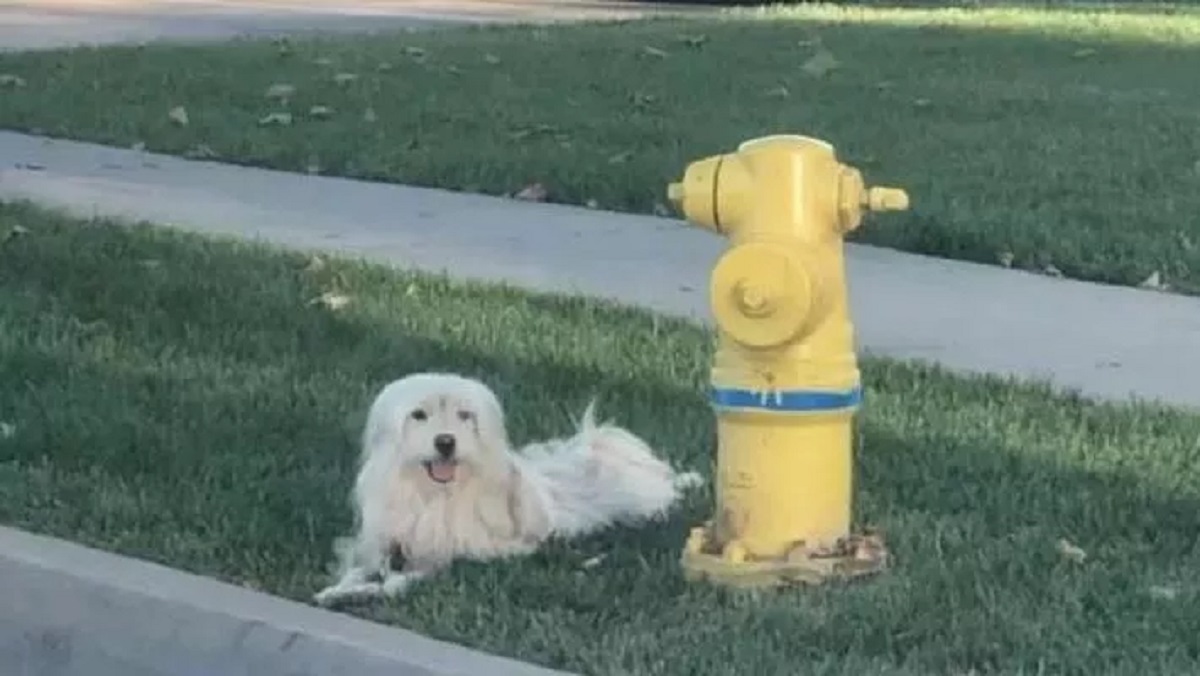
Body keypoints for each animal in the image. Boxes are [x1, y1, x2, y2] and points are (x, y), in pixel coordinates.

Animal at [314, 372, 700, 605]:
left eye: (465, 415)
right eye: (418, 415)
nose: (445, 442)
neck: (436, 495)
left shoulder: (467, 553)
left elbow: (406, 579)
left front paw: (381, 588)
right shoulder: (380, 545)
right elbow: (359, 569)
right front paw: (337, 590)